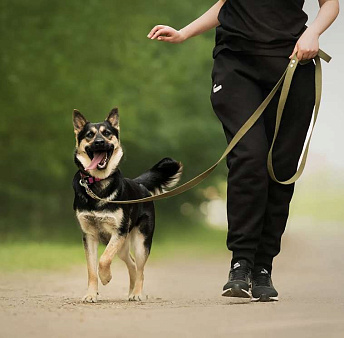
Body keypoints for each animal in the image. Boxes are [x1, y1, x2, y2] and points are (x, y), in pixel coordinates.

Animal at [71, 109, 181, 304]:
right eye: (89, 135)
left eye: (107, 133)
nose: (99, 142)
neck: (97, 184)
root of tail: (140, 184)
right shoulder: (89, 236)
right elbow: (91, 269)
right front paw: (91, 294)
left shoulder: (118, 232)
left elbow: (103, 260)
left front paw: (106, 277)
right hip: (123, 247)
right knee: (132, 264)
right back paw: (130, 291)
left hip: (140, 242)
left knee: (140, 268)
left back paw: (136, 293)